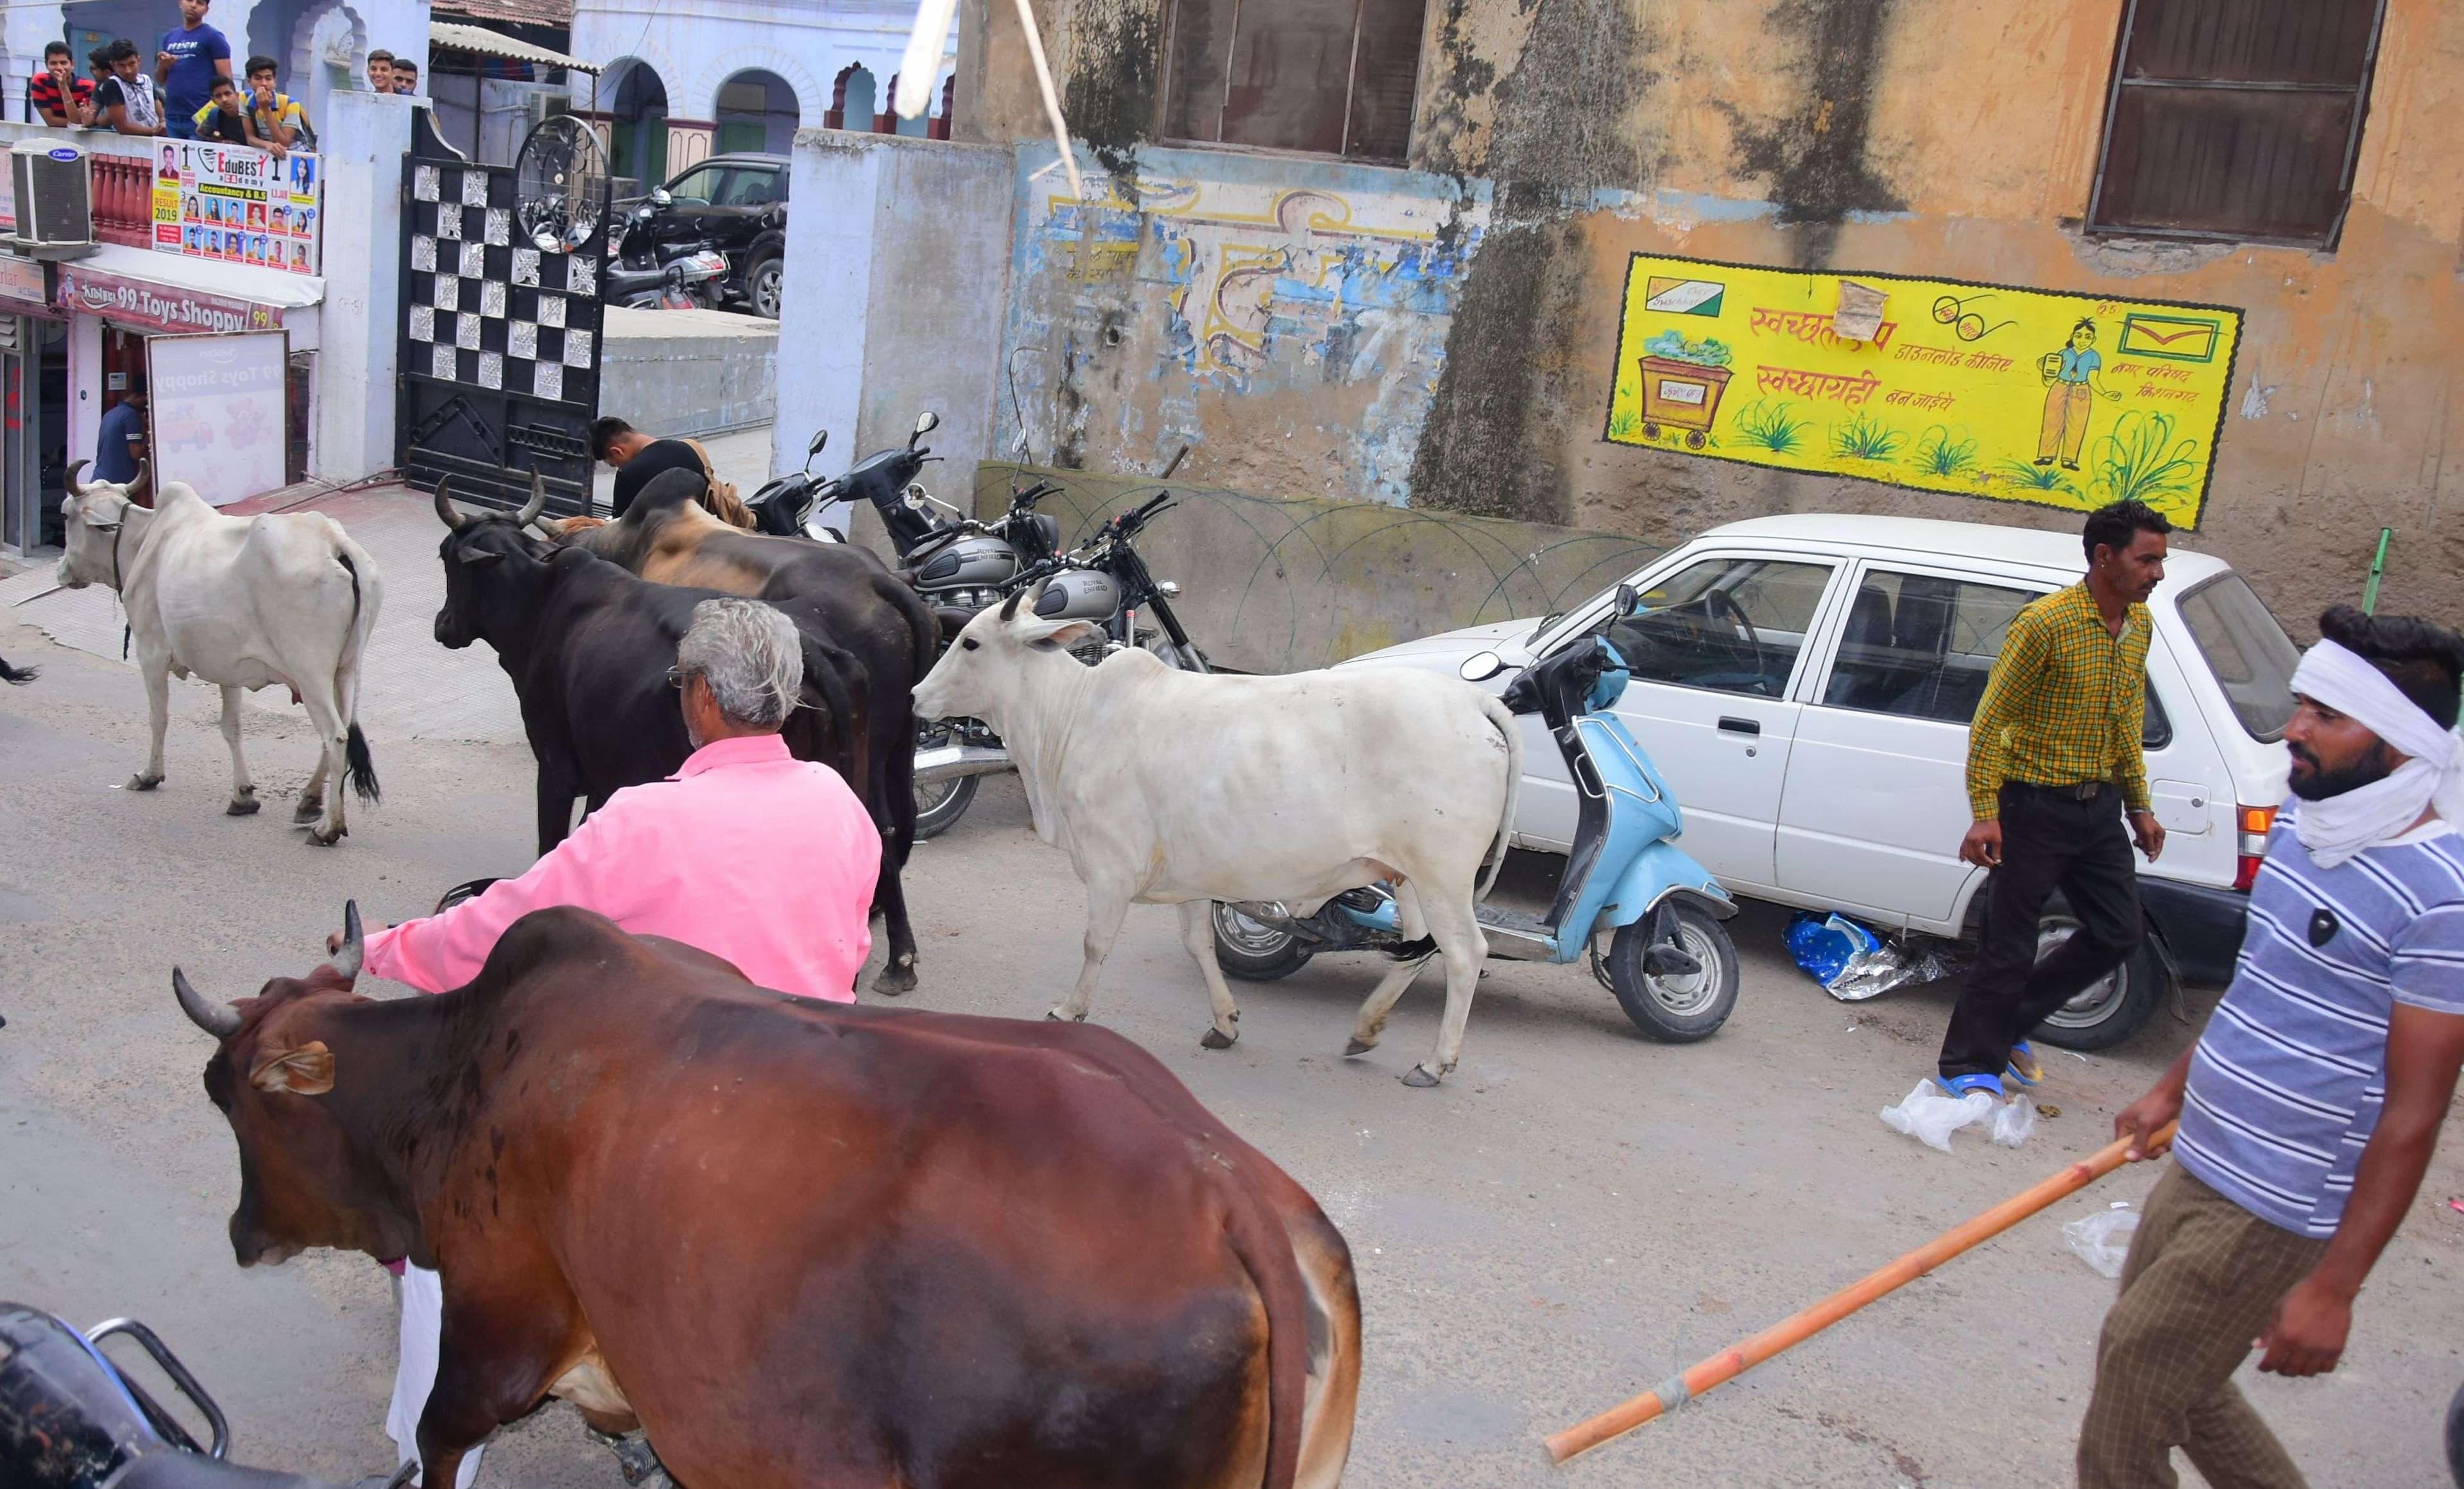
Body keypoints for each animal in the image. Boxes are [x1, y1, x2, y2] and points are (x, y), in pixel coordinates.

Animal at [58, 458, 379, 843]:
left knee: (335, 735)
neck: (143, 540)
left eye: (65, 515)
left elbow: (158, 717)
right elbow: (232, 727)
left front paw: (150, 775)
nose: (62, 571)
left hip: (311, 672)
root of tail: (335, 543)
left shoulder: (150, 652)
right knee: (339, 732)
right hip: (345, 670)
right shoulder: (230, 668)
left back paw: (328, 827)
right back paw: (309, 802)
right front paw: (243, 796)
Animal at [173, 907, 1370, 1489]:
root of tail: (1229, 1194)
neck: (457, 1062)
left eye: (227, 1093)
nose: (238, 1234)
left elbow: (436, 1441)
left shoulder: (496, 1332)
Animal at [433, 481, 926, 991]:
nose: (442, 625)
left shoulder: (555, 766)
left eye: (446, 556)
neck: (540, 601)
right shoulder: (610, 768)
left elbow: (550, 845)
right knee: (884, 828)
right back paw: (893, 957)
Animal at [911, 586, 1508, 1089]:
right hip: (1407, 875)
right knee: (1418, 948)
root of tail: (1472, 702)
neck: (1071, 717)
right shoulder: (1191, 876)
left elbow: (1095, 943)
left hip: (1443, 876)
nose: (916, 694)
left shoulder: (1109, 867)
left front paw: (1069, 1010)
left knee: (1464, 952)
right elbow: (1198, 945)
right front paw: (1224, 1021)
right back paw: (1366, 1027)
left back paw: (1435, 1062)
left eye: (971, 641)